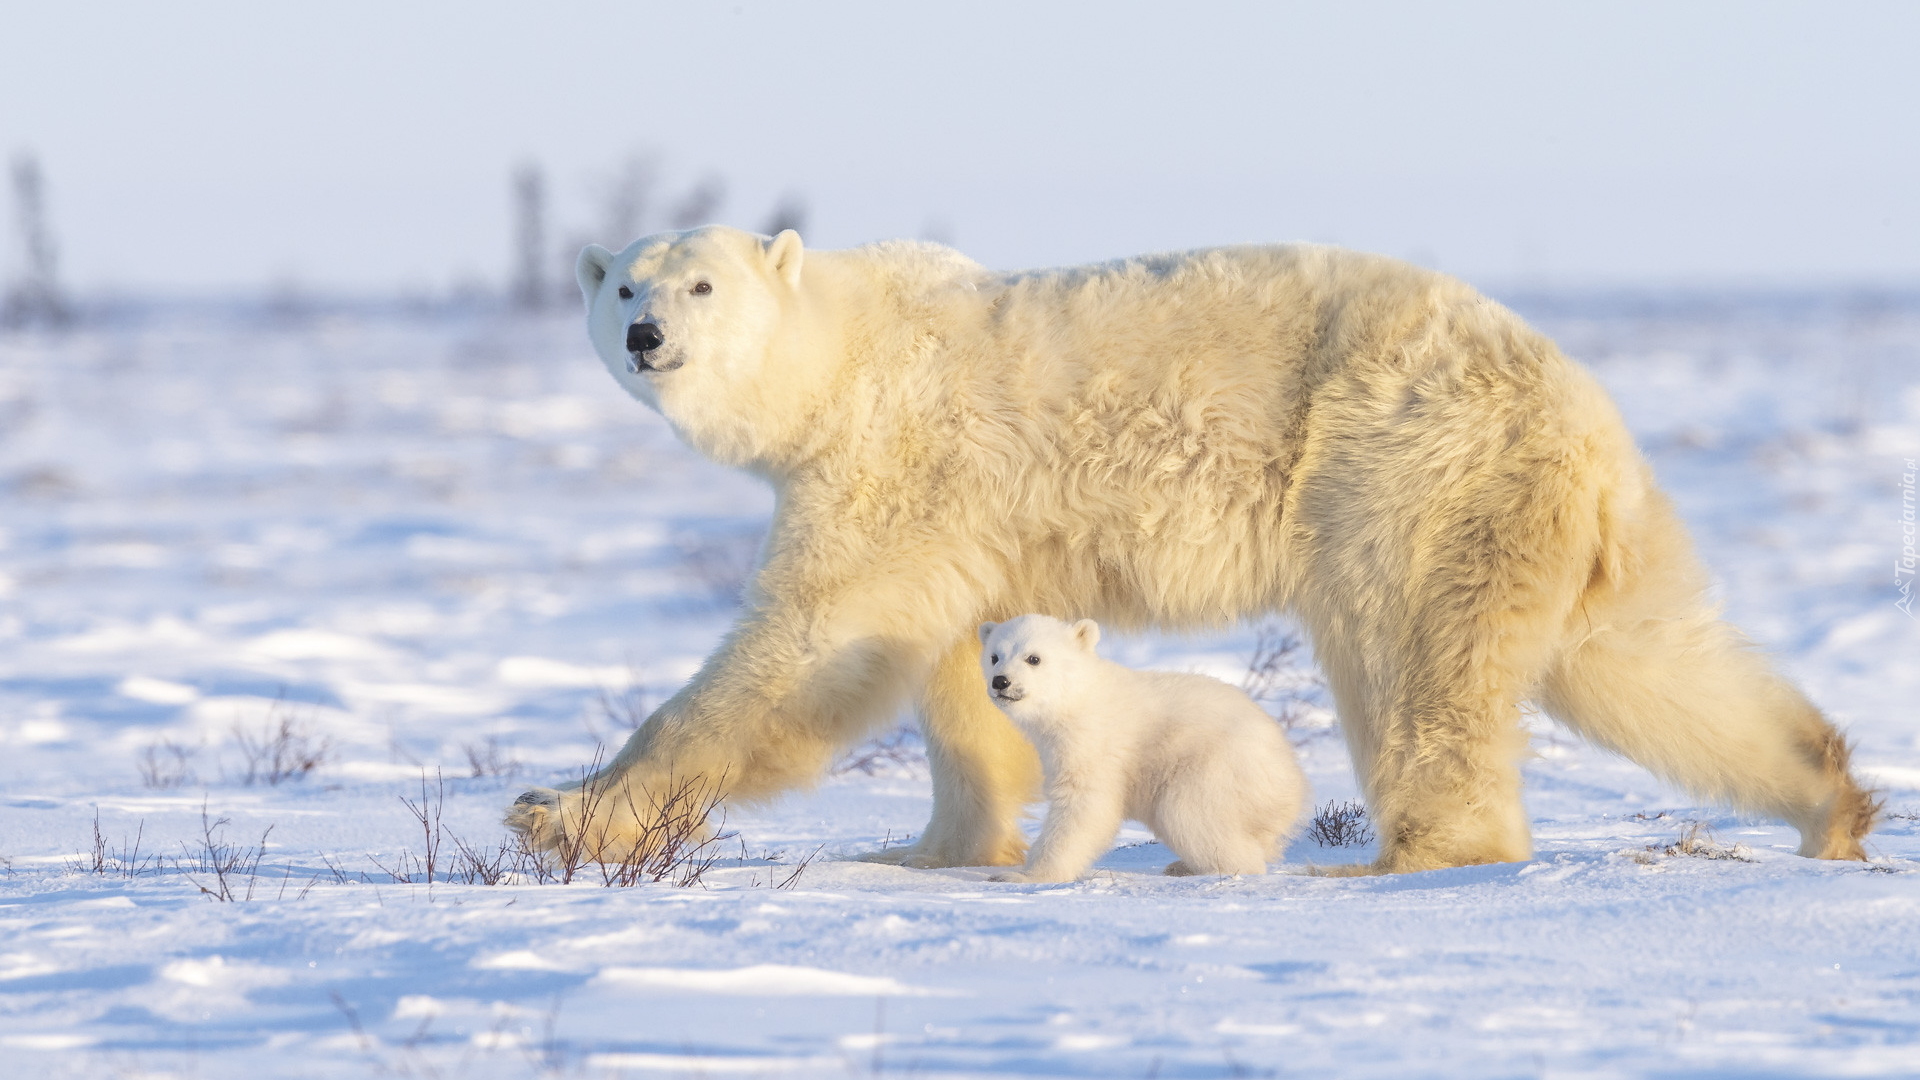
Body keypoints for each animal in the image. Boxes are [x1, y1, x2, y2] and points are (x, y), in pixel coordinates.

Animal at [506, 222, 1873, 868]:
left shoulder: (892, 462)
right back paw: (1830, 802)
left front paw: (555, 811)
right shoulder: (960, 515)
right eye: (621, 284)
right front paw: (940, 846)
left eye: (701, 286)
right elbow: (937, 667)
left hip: (1403, 467)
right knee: (1641, 661)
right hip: (1546, 507)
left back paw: (1403, 857)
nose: (646, 339)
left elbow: (805, 646)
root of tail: (1579, 406)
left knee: (1411, 651)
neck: (843, 357)